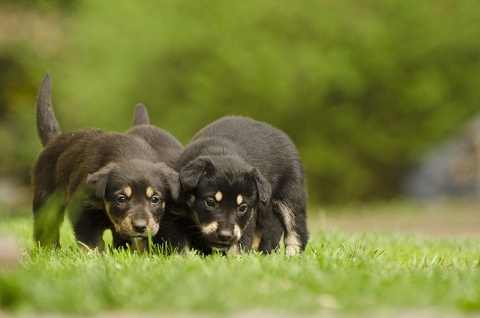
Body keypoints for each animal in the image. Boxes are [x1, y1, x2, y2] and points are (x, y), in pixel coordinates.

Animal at [32, 74, 181, 251]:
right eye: (121, 199)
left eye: (155, 199)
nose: (139, 226)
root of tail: (52, 140)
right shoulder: (81, 206)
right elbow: (91, 241)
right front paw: (95, 255)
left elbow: (137, 242)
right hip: (47, 203)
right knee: (47, 230)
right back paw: (50, 250)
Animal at [175, 116, 308, 256]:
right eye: (210, 202)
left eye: (242, 207)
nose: (225, 236)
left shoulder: (247, 219)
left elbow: (240, 243)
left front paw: (236, 259)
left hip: (290, 196)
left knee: (296, 230)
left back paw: (292, 255)